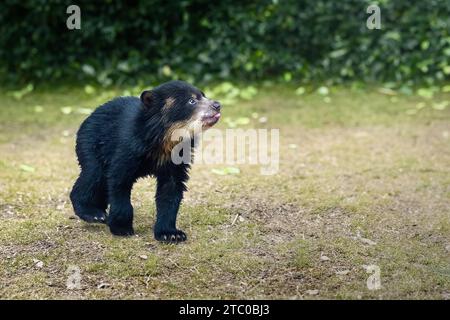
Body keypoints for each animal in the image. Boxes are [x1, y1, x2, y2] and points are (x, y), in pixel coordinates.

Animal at [70, 80, 221, 242]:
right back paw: (94, 214)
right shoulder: (128, 148)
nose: (217, 104)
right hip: (91, 145)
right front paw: (122, 228)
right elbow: (119, 181)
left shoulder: (178, 158)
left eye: (203, 95)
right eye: (191, 101)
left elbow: (170, 190)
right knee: (93, 176)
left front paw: (171, 234)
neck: (164, 139)